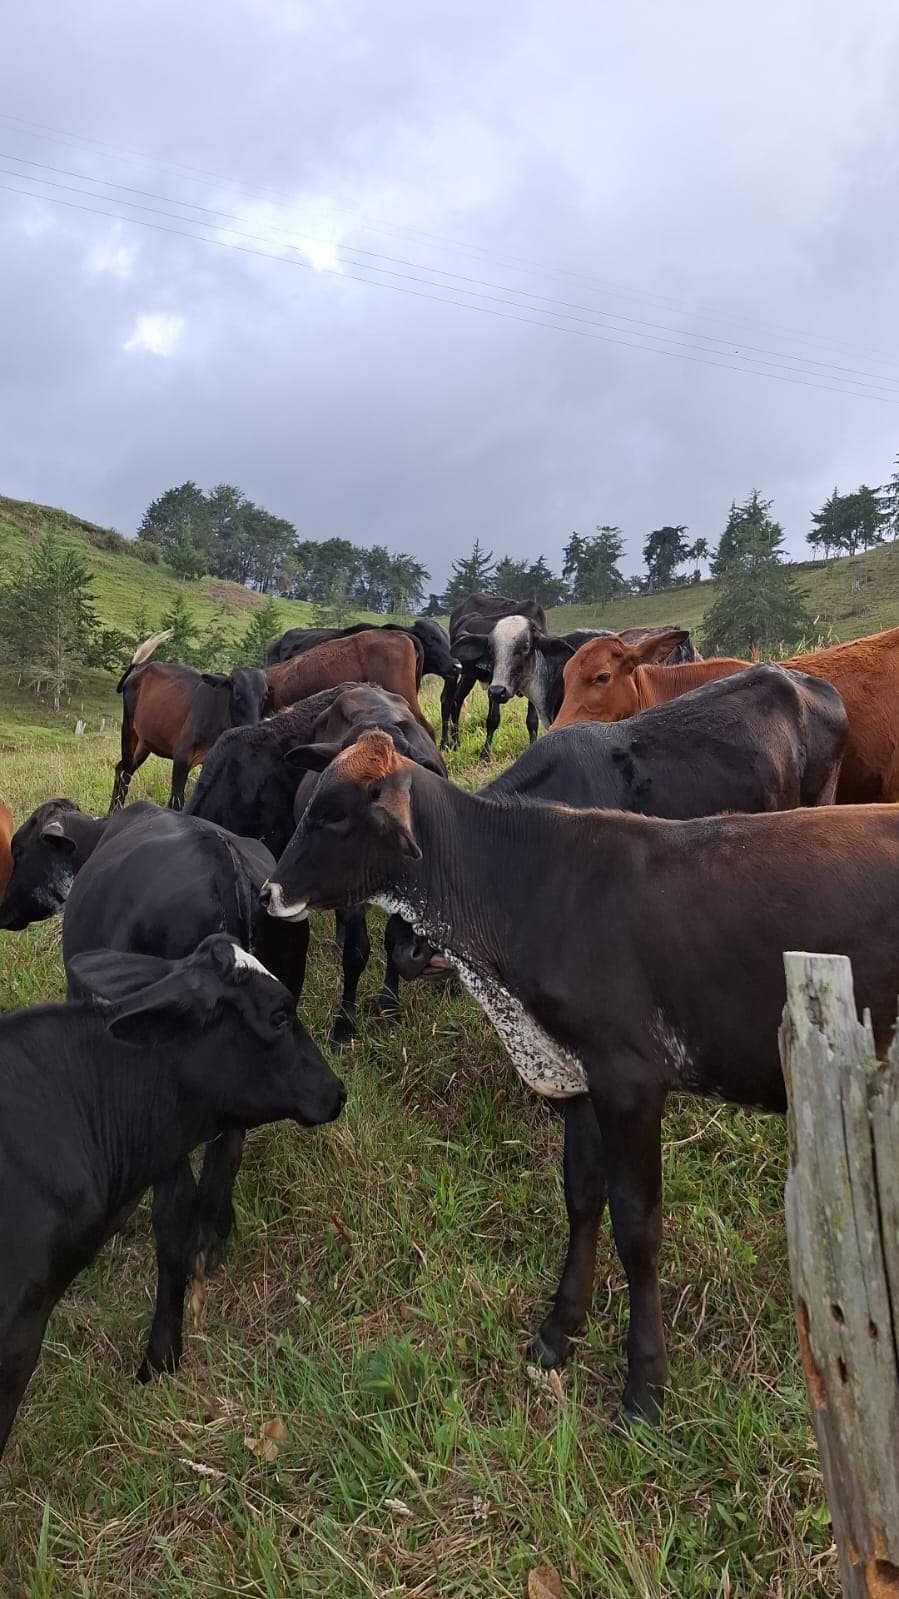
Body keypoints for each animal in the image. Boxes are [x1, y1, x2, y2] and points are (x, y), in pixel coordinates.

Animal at [0, 798, 312, 1377]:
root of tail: (226, 866)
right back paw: (215, 1235)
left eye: (19, 848)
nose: (3, 907)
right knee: (226, 1156)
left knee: (174, 1210)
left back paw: (161, 1352)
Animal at [111, 631, 268, 811]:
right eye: (237, 693)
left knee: (124, 769)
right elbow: (176, 802)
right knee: (123, 772)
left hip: (145, 743)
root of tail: (138, 674)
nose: (254, 727)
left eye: (265, 695)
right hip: (129, 730)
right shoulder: (181, 758)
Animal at [263, 729, 899, 1422]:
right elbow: (581, 1195)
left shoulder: (630, 1082)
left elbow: (637, 1224)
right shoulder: (575, 1078)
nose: (270, 892)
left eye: (335, 815)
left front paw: (645, 1383)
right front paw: (559, 1329)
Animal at [443, 593, 547, 757]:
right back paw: (448, 744)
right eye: (492, 648)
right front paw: (485, 754)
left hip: (468, 676)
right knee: (449, 701)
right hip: (461, 674)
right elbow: (493, 719)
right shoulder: (494, 688)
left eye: (525, 647)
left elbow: (532, 720)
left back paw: (455, 743)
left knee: (455, 700)